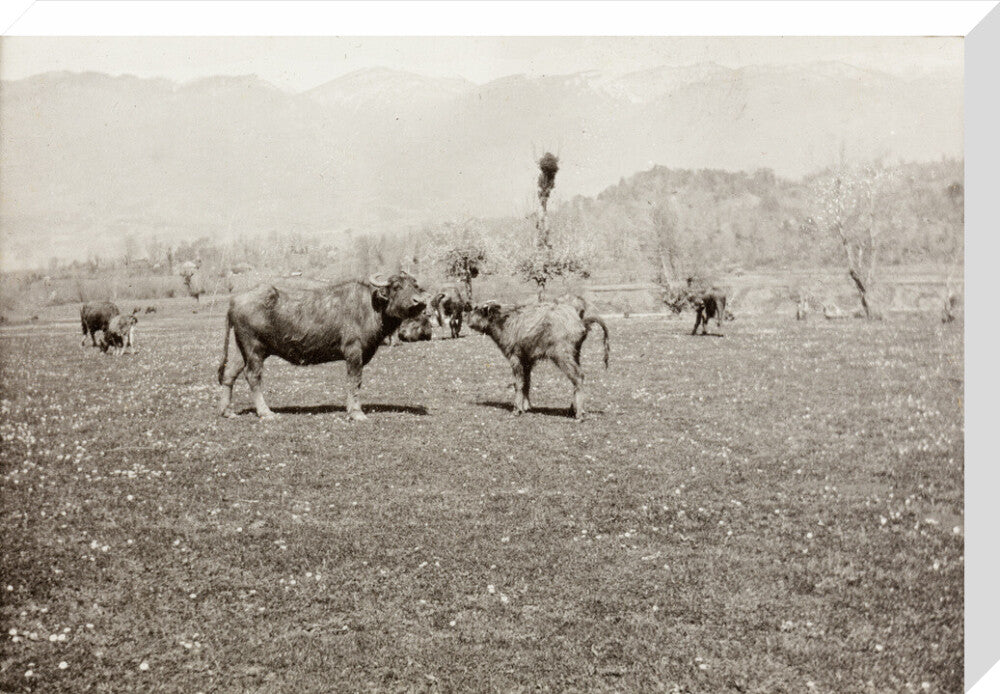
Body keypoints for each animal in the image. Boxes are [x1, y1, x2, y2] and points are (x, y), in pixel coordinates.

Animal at [217, 272, 430, 421]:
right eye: (396, 287)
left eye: (415, 285)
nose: (419, 302)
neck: (371, 307)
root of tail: (234, 301)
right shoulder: (353, 351)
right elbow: (355, 381)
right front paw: (356, 413)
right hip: (255, 348)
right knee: (253, 376)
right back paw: (266, 412)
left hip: (240, 349)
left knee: (229, 374)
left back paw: (227, 411)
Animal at [468, 301, 610, 420]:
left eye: (478, 309)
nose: (468, 317)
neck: (505, 321)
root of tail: (581, 322)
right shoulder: (527, 361)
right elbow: (527, 383)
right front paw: (526, 407)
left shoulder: (515, 358)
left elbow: (518, 383)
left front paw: (517, 409)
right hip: (575, 355)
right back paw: (573, 409)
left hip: (563, 356)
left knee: (578, 377)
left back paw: (579, 414)